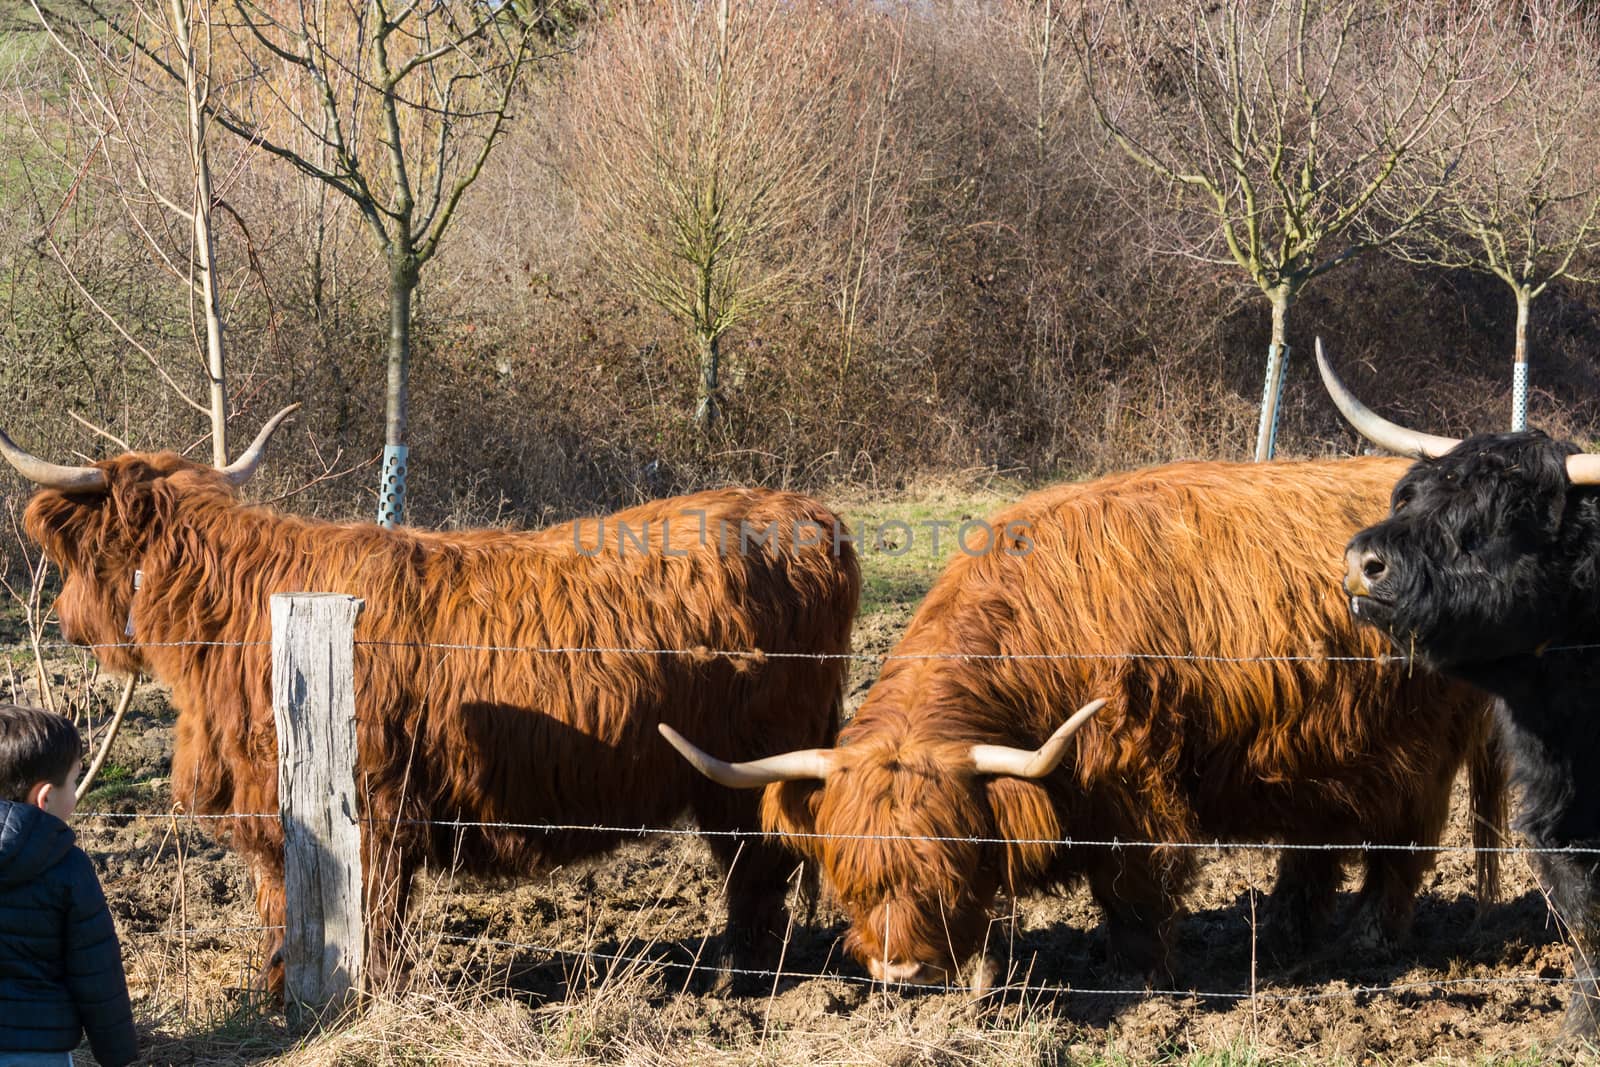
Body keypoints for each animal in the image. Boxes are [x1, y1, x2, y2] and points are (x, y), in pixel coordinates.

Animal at [1318, 342, 1600, 1043]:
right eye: (1409, 497)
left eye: (1497, 517)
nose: (1362, 563)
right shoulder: (1555, 811)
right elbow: (1585, 913)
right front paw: (1579, 1029)